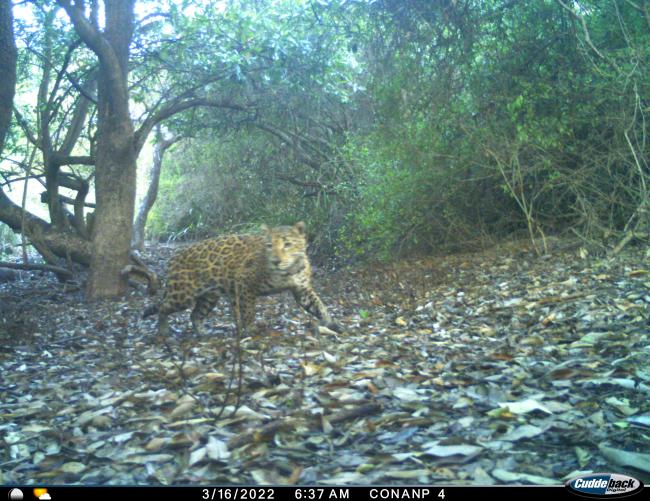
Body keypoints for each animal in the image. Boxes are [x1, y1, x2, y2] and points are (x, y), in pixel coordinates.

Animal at [143, 222, 339, 336]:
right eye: (269, 245)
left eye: (287, 244)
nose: (276, 261)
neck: (288, 271)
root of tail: (174, 258)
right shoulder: (243, 282)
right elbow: (248, 310)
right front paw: (251, 328)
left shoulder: (302, 290)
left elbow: (318, 304)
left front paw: (329, 322)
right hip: (182, 294)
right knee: (163, 307)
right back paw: (163, 331)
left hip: (209, 297)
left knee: (195, 314)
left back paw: (203, 333)